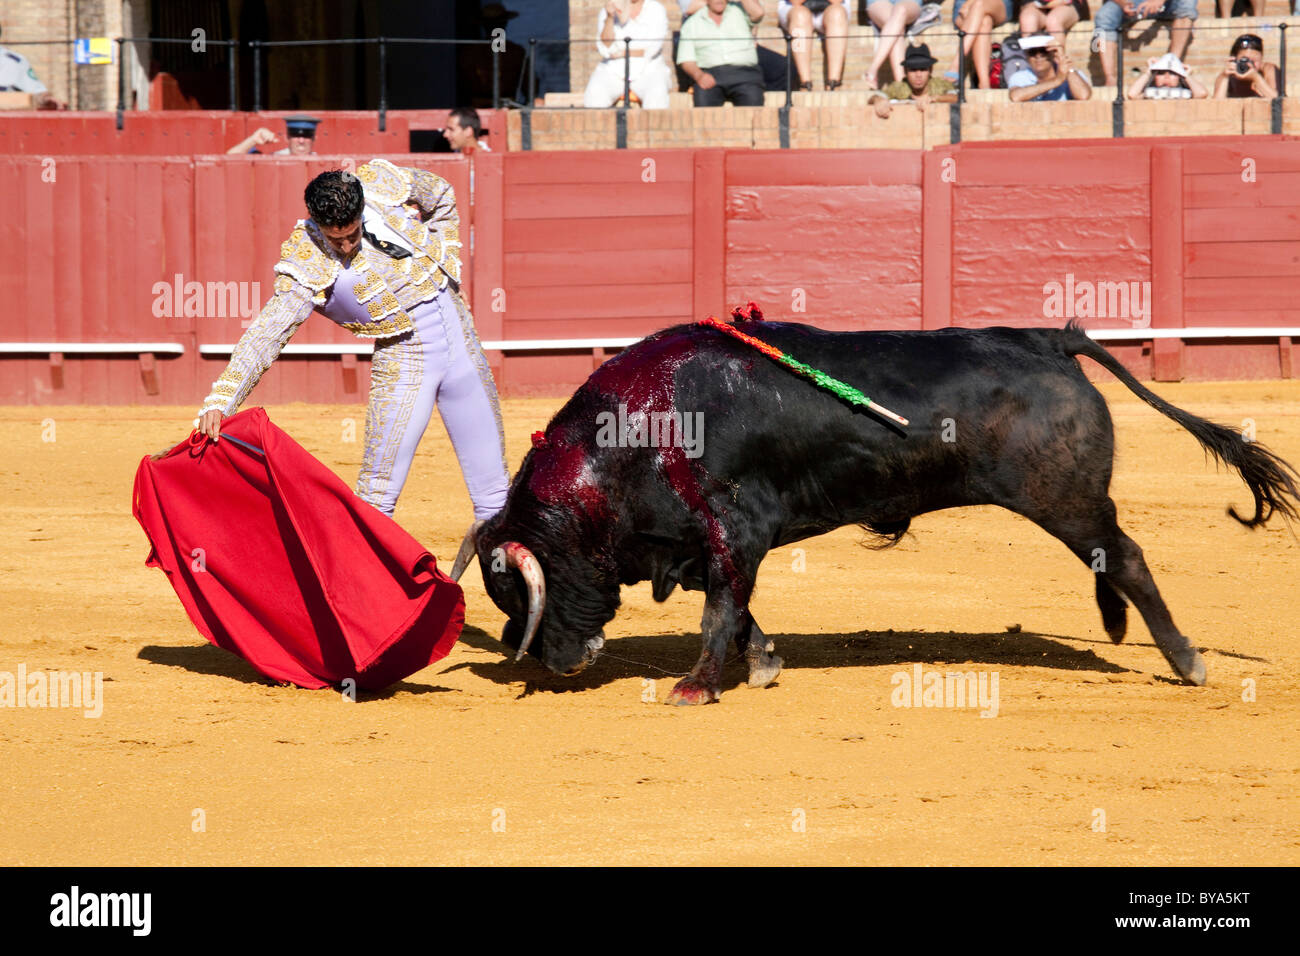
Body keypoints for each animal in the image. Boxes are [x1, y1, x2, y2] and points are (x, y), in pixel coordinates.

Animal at [462, 321, 1294, 702]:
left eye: (519, 592)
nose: (551, 662)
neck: (636, 435)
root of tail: (1047, 339)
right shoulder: (709, 543)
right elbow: (737, 610)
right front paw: (763, 665)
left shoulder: (737, 529)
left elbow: (720, 609)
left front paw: (696, 685)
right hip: (1074, 500)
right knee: (1108, 554)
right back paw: (1121, 626)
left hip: (1061, 496)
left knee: (1126, 555)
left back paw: (1185, 660)